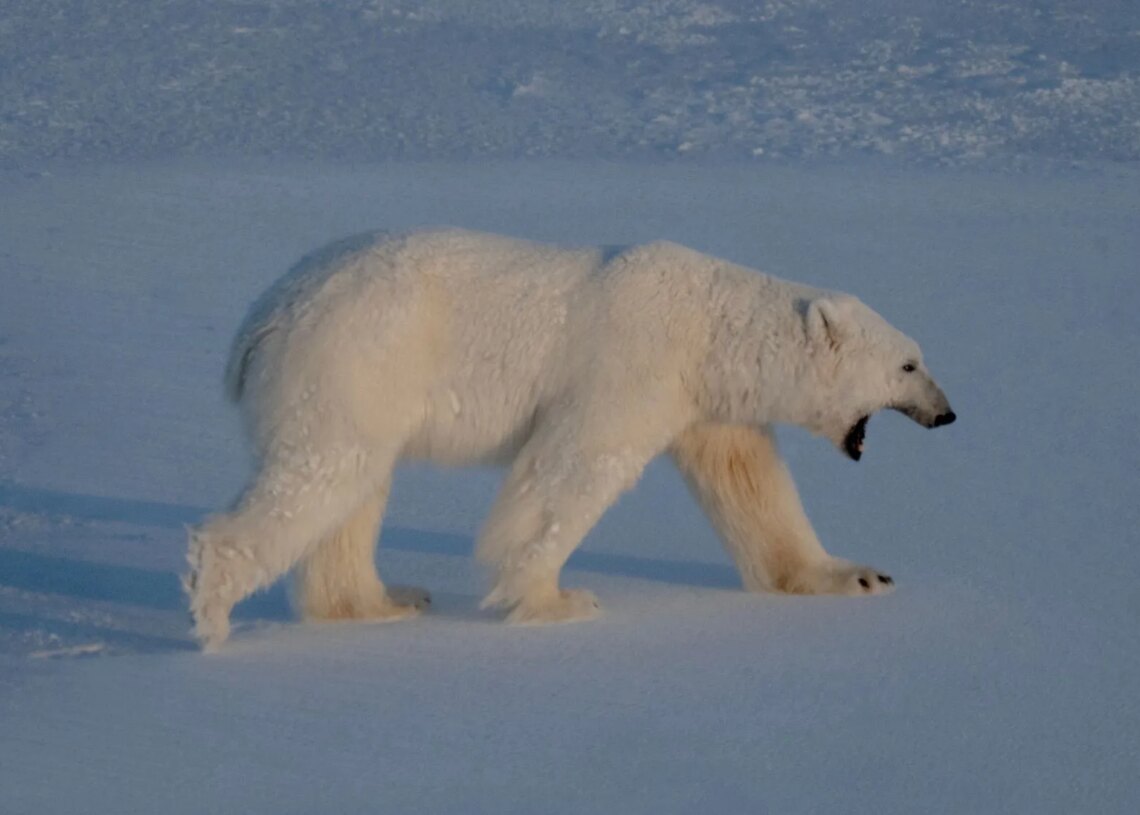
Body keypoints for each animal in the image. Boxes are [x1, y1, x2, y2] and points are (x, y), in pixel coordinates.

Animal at [185, 228, 955, 650]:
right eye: (909, 365)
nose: (948, 414)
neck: (710, 326)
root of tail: (261, 317)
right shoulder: (633, 362)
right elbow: (574, 466)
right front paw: (556, 600)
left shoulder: (707, 402)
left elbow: (750, 484)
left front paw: (858, 576)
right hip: (355, 357)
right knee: (323, 472)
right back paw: (212, 608)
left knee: (354, 488)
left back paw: (382, 601)